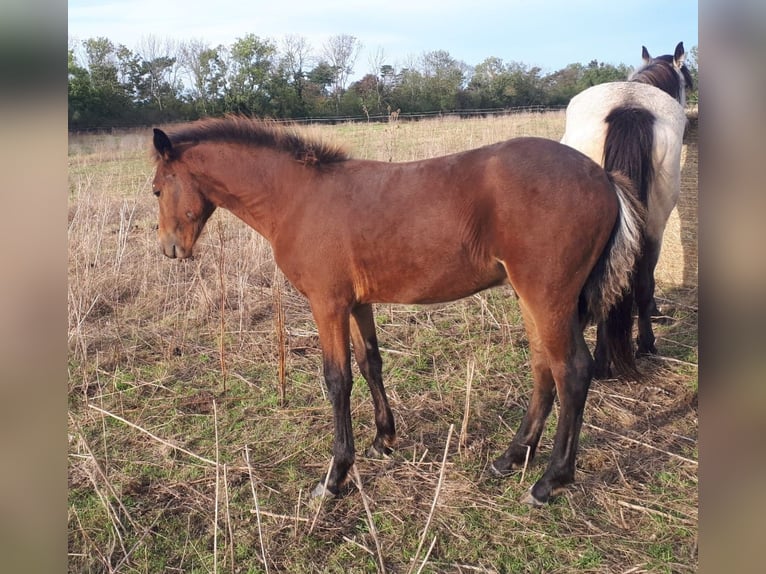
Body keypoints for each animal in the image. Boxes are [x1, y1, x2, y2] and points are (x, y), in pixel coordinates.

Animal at [153, 118, 644, 508]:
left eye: (157, 189)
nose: (170, 250)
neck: (297, 198)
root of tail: (603, 176)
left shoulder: (326, 304)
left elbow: (337, 380)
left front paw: (335, 477)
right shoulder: (357, 303)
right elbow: (370, 363)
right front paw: (383, 441)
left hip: (548, 296)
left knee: (572, 371)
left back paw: (549, 481)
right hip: (533, 299)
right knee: (544, 368)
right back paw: (510, 459)